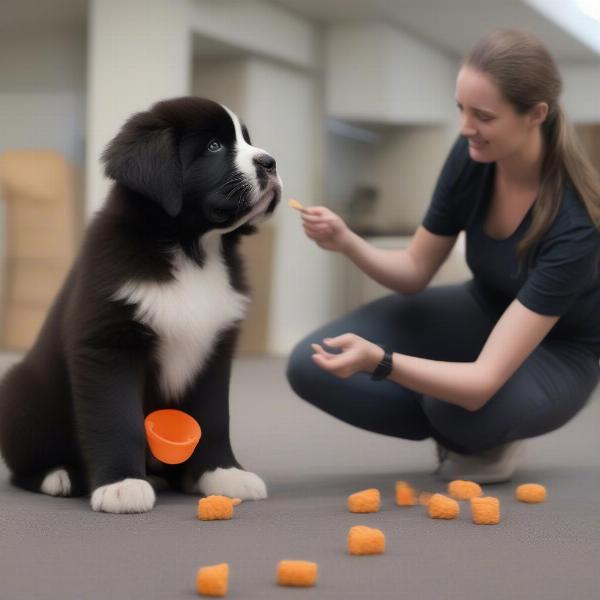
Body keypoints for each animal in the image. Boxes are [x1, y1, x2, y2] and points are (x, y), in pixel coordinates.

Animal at [0, 96, 282, 512]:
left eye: (246, 139)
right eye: (214, 146)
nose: (270, 162)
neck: (192, 251)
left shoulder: (215, 348)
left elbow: (215, 417)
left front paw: (223, 472)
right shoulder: (109, 344)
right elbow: (117, 418)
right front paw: (122, 484)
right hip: (21, 393)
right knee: (25, 463)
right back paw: (59, 476)